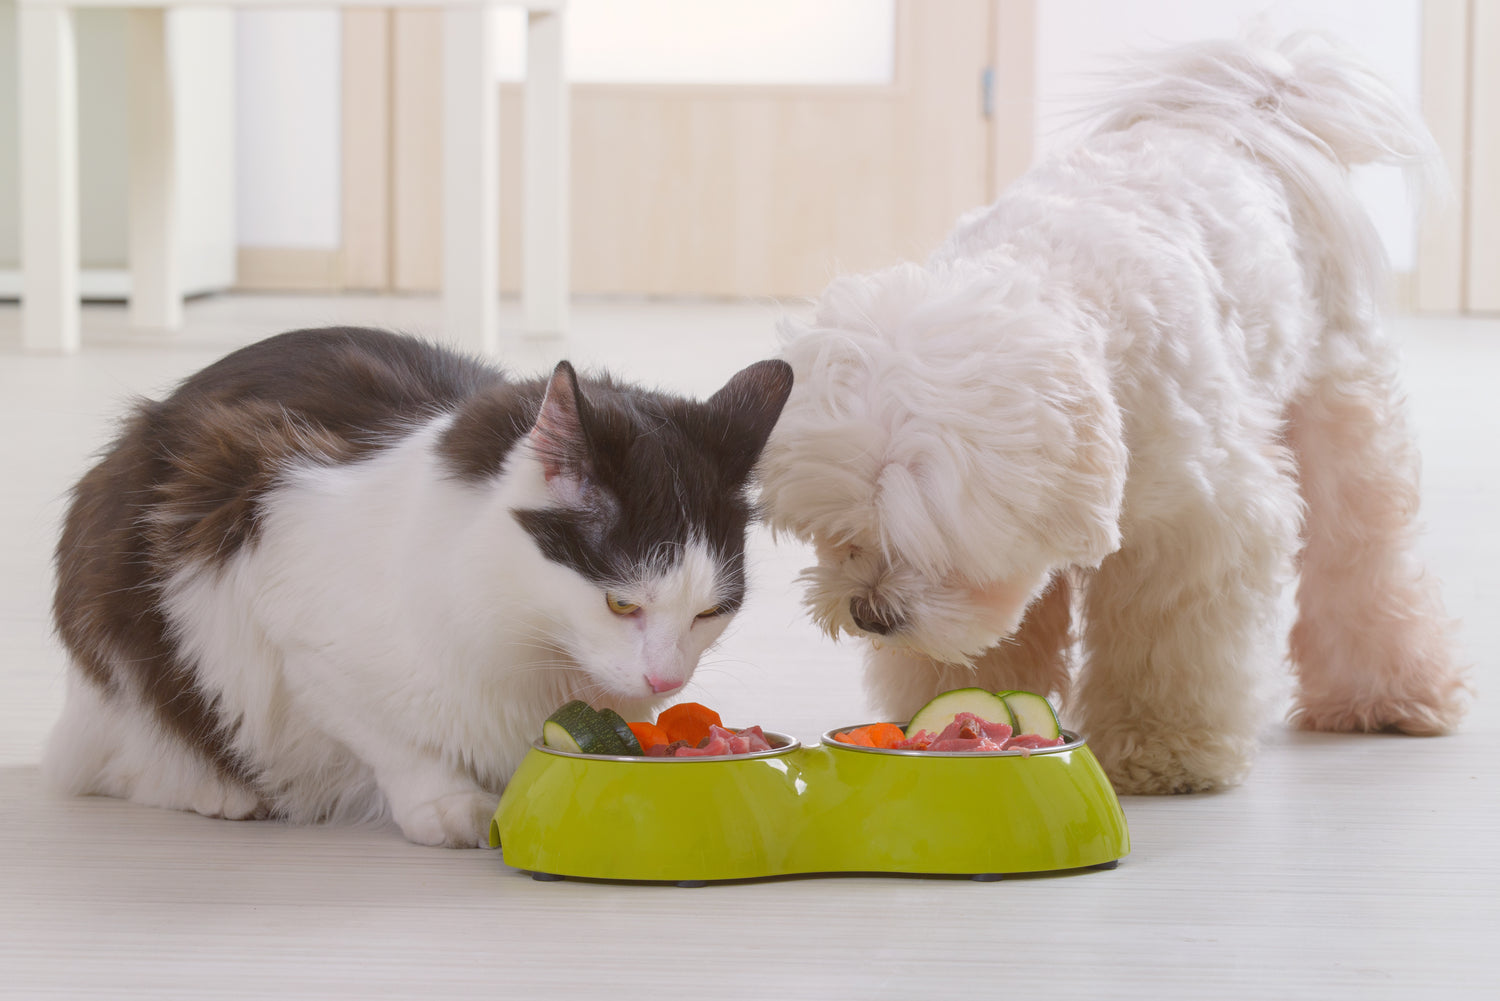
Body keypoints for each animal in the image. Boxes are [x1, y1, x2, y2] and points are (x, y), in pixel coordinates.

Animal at [43, 327, 798, 846]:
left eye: (711, 612)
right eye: (621, 602)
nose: (667, 678)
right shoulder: (286, 611)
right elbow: (388, 735)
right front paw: (448, 805)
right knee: (126, 752)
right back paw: (216, 790)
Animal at [756, 35, 1470, 792]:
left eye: (938, 554)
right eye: (842, 537)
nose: (870, 612)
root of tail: (1244, 112)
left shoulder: (1194, 533)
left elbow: (1166, 648)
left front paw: (1164, 750)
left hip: (1340, 415)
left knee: (1363, 558)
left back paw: (1387, 696)